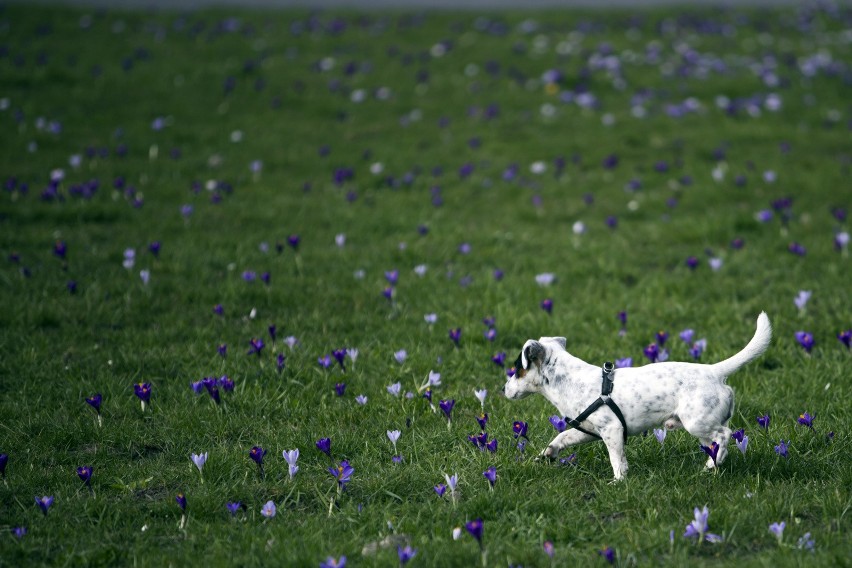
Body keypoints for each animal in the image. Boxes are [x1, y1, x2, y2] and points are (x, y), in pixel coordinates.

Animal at [502, 310, 776, 480]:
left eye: (516, 368)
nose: (503, 390)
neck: (570, 381)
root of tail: (714, 371)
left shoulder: (611, 430)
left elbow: (616, 460)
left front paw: (618, 481)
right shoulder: (588, 430)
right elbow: (561, 437)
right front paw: (546, 454)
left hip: (697, 422)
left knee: (725, 435)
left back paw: (711, 464)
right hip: (701, 427)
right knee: (716, 443)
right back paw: (711, 465)